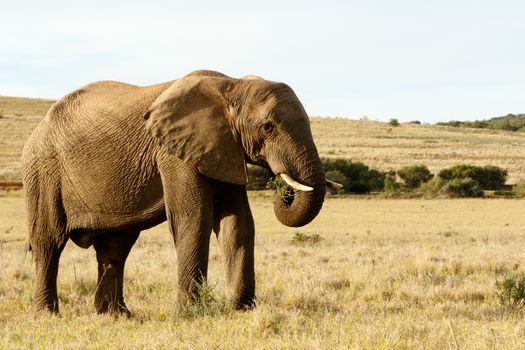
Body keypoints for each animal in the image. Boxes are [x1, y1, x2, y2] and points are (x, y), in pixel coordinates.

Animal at [21, 69, 336, 316]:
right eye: (268, 127)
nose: (279, 187)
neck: (231, 85)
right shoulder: (174, 153)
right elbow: (194, 219)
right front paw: (190, 314)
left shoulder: (225, 148)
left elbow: (238, 224)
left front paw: (242, 310)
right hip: (43, 170)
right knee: (49, 242)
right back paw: (48, 315)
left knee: (115, 247)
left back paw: (116, 315)